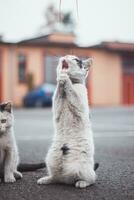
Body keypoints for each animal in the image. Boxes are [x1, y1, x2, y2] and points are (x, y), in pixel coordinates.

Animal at [37, 54, 97, 188]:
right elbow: (58, 94)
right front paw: (61, 78)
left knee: (92, 179)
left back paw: (81, 183)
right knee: (56, 177)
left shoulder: (80, 105)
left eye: (75, 59)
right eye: (67, 56)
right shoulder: (57, 105)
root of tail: (66, 179)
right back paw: (46, 179)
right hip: (50, 160)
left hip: (82, 168)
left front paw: (65, 78)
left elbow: (72, 92)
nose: (65, 56)